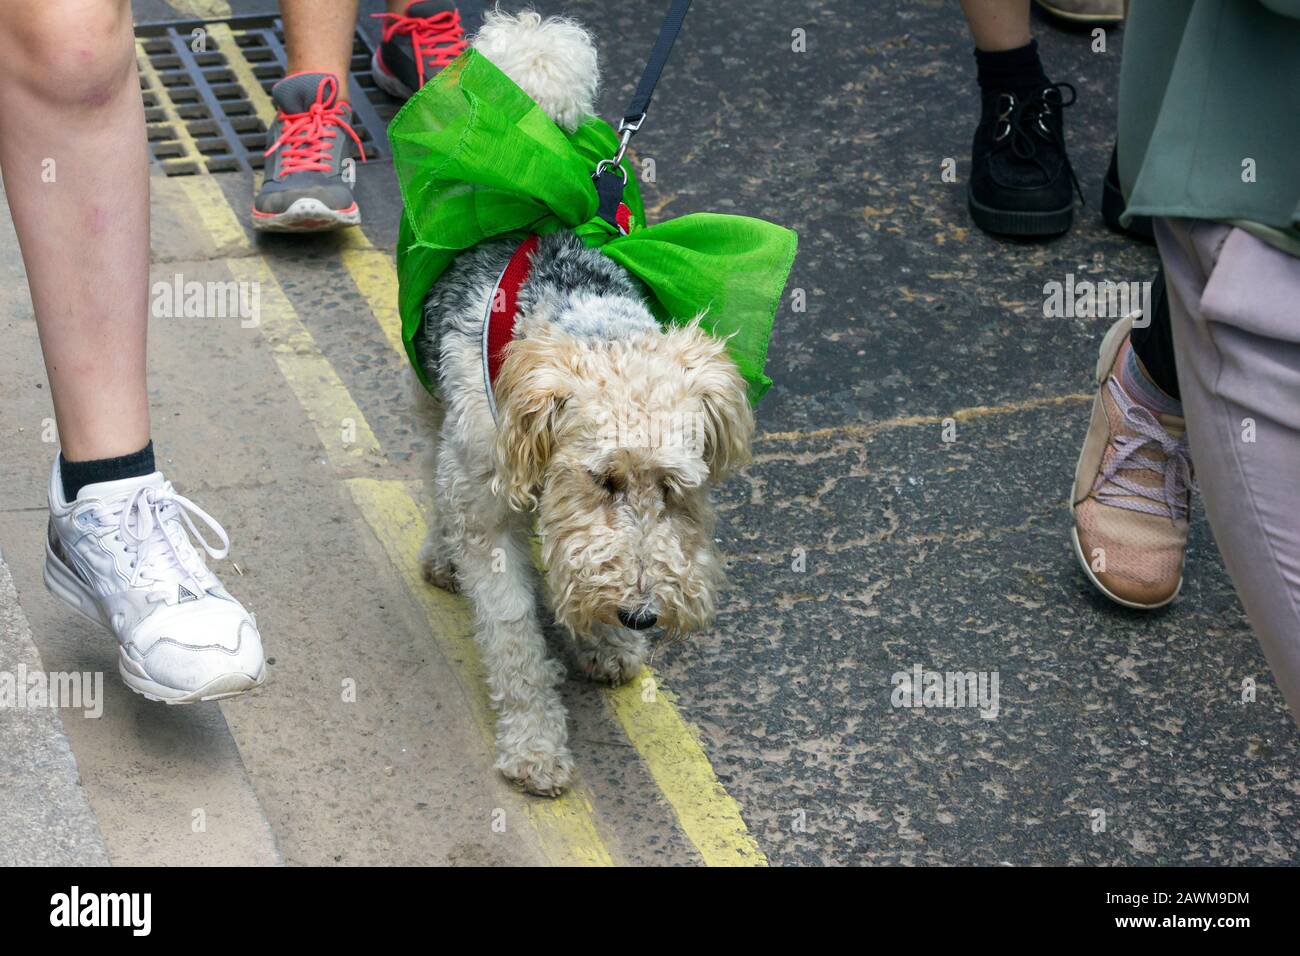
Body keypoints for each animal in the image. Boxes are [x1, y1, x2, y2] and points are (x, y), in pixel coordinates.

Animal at [410, 11, 759, 796]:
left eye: (675, 487)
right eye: (603, 479)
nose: (642, 615)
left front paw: (605, 642)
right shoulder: (490, 505)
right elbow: (512, 637)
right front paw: (535, 746)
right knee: (437, 472)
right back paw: (441, 554)